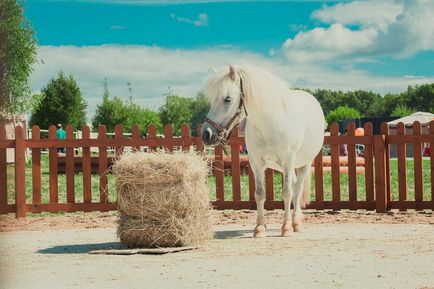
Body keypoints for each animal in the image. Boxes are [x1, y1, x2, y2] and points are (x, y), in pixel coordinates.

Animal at [202, 64, 324, 236]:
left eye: (228, 99)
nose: (206, 134)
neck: (269, 124)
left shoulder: (288, 161)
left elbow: (287, 193)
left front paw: (286, 227)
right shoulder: (256, 164)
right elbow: (259, 194)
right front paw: (260, 228)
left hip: (303, 164)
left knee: (297, 190)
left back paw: (296, 223)